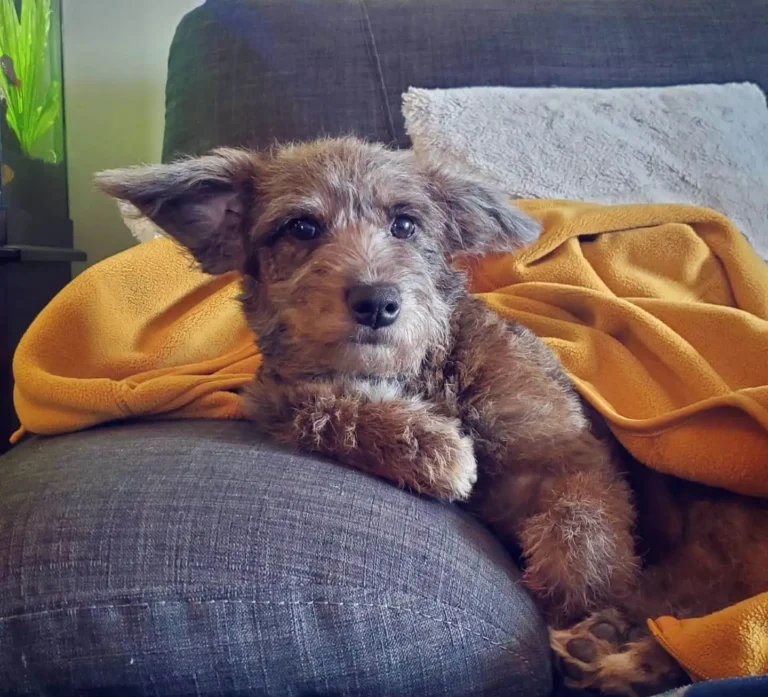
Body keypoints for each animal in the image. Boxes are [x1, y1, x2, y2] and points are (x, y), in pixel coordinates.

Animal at [97, 137, 768, 696]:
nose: (377, 301)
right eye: (302, 226)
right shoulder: (275, 395)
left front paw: (577, 602)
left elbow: (583, 528)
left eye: (405, 223)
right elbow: (328, 405)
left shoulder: (567, 450)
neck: (424, 374)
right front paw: (433, 449)